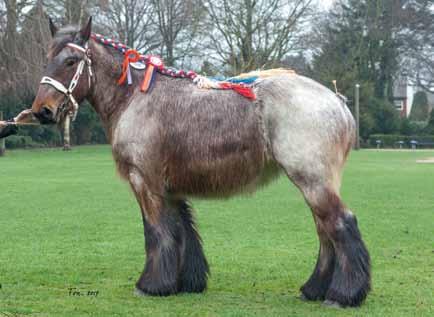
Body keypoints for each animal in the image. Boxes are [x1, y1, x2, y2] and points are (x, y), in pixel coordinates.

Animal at [1, 17, 372, 306]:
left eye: (69, 62)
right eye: (46, 59)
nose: (42, 111)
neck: (134, 96)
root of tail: (337, 102)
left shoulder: (144, 181)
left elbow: (156, 232)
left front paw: (152, 285)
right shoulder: (170, 187)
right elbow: (182, 231)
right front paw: (187, 283)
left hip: (312, 180)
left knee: (340, 224)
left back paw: (343, 294)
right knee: (325, 230)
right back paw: (314, 289)